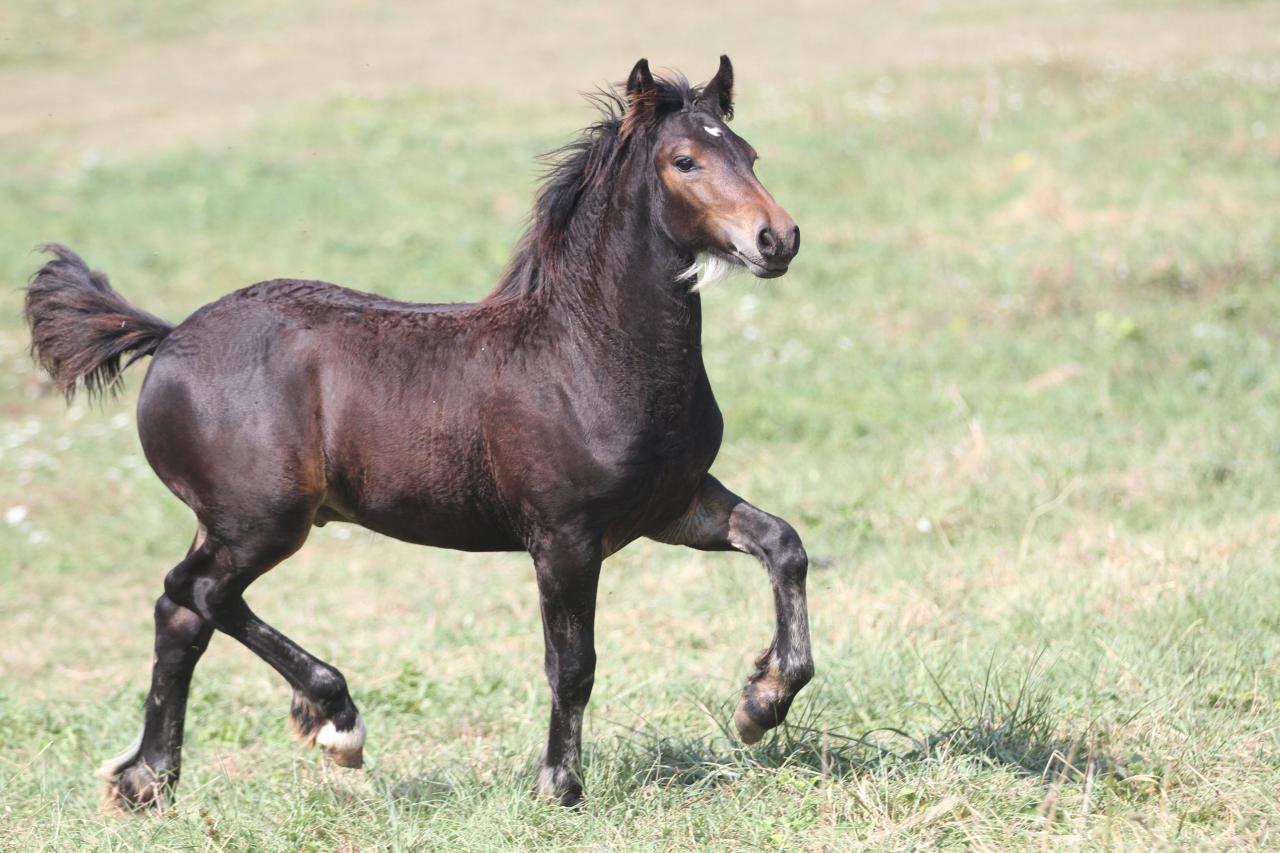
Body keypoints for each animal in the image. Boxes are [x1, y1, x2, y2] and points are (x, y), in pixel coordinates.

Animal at [24, 56, 808, 809]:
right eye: (685, 161)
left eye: (749, 152)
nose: (778, 238)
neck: (588, 351)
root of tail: (169, 337)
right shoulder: (564, 538)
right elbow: (572, 665)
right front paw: (559, 785)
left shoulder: (671, 506)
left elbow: (783, 545)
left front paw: (760, 702)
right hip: (262, 521)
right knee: (198, 594)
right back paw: (332, 719)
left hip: (227, 521)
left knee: (179, 614)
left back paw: (147, 779)